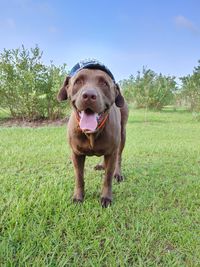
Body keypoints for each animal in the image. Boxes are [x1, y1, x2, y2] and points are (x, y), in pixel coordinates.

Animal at [57, 61, 128, 208]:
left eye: (104, 83)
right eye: (78, 81)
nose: (89, 95)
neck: (91, 133)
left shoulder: (111, 152)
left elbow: (107, 177)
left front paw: (106, 197)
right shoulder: (76, 154)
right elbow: (79, 177)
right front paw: (78, 197)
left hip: (123, 134)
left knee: (119, 156)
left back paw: (117, 173)